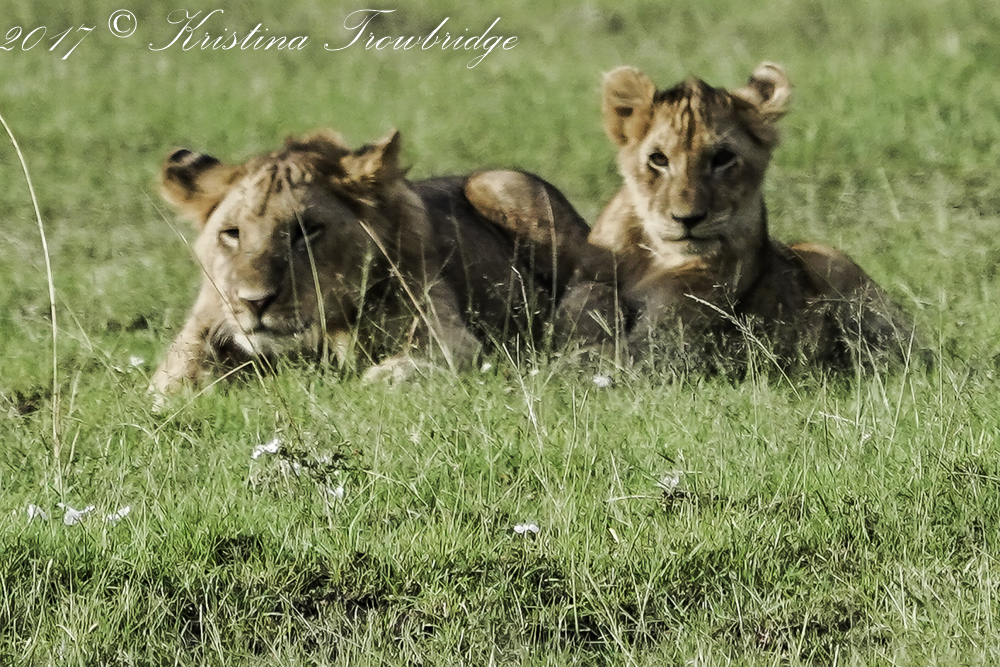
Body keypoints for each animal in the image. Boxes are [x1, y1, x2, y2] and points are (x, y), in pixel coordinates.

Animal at [150, 129, 610, 397]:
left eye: (307, 231)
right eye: (232, 233)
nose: (254, 302)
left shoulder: (448, 334)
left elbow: (426, 361)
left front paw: (387, 376)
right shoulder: (200, 330)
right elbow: (172, 382)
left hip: (502, 184)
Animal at [588, 62, 919, 371]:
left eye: (722, 158)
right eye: (658, 159)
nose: (687, 219)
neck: (652, 257)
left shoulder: (665, 343)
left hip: (830, 260)